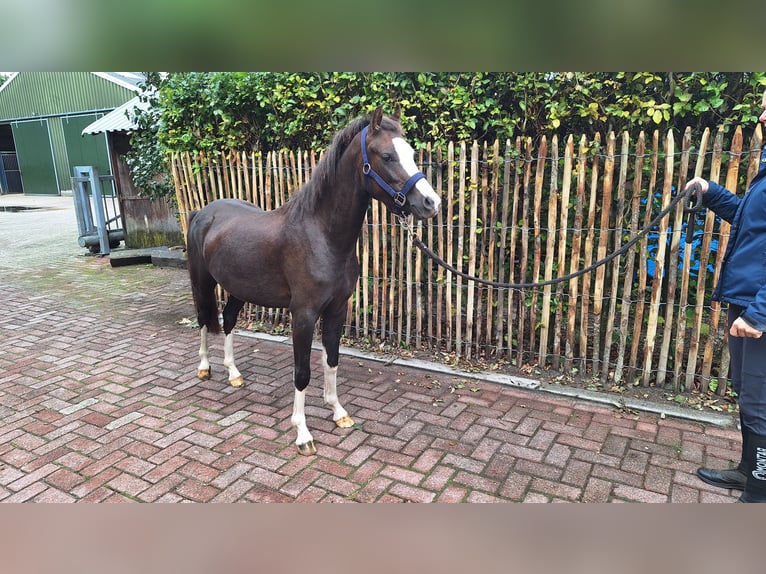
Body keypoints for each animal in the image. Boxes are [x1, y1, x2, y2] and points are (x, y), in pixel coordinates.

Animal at [186, 106, 441, 455]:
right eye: (387, 156)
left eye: (412, 154)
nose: (432, 203)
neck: (322, 236)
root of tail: (203, 213)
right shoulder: (304, 314)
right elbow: (302, 371)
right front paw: (303, 433)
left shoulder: (337, 309)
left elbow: (331, 361)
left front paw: (338, 412)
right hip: (202, 282)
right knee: (202, 319)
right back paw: (204, 368)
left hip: (239, 288)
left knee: (228, 321)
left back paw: (234, 374)